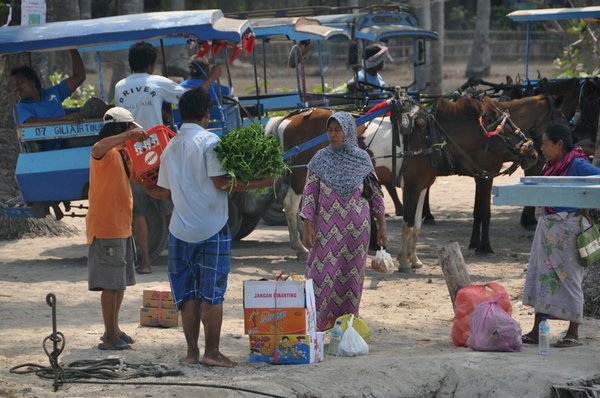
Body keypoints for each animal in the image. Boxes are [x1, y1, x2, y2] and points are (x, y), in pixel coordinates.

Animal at [398, 95, 544, 272]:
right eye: (508, 130)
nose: (534, 155)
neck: (429, 139)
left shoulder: (422, 186)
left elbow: (416, 223)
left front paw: (413, 259)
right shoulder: (412, 187)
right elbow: (408, 223)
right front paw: (404, 262)